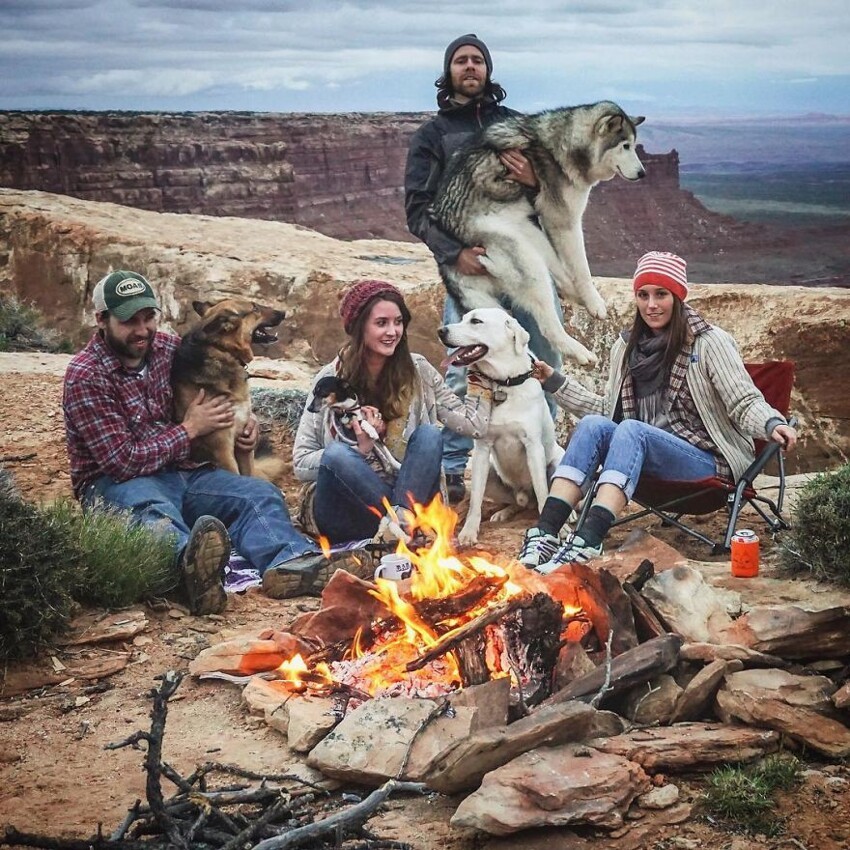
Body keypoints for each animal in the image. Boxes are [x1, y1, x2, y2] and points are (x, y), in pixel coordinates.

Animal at [430, 100, 644, 364]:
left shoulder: (551, 222)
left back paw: (571, 294)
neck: (564, 143)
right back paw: (579, 351)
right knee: (548, 326)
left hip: (528, 230)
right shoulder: (565, 221)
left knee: (555, 272)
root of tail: (448, 270)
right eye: (625, 146)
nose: (643, 173)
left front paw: (587, 298)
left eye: (633, 145)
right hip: (526, 261)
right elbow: (582, 268)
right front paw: (595, 303)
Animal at [438, 308, 564, 548]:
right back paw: (504, 512)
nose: (441, 331)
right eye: (462, 317)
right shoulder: (481, 450)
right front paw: (469, 532)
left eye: (476, 321)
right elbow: (475, 502)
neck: (504, 383)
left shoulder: (533, 447)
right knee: (517, 502)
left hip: (557, 463)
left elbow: (543, 492)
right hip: (488, 471)